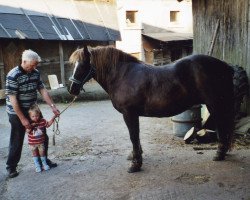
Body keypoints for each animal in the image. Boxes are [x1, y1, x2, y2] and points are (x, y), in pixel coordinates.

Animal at [68, 46, 234, 173]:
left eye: (82, 65)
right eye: (73, 65)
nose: (72, 89)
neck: (123, 75)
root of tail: (225, 66)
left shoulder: (129, 113)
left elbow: (133, 136)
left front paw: (135, 164)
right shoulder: (133, 115)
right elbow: (136, 137)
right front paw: (135, 156)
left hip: (214, 104)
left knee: (222, 125)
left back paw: (219, 154)